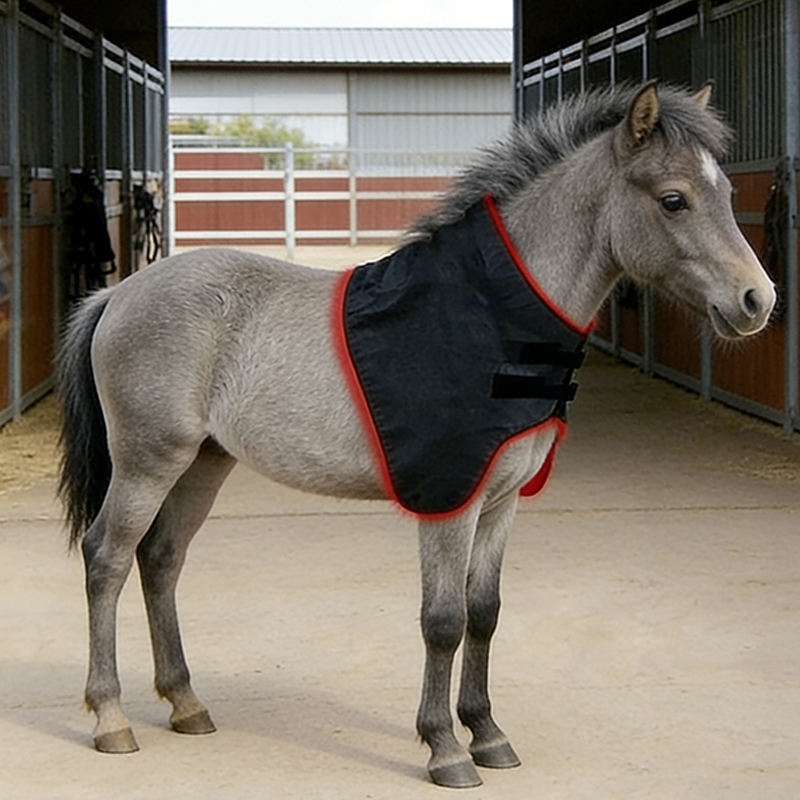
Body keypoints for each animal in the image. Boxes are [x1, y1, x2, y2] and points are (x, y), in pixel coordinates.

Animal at [57, 82, 775, 788]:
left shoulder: (502, 501)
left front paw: (488, 734)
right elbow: (444, 620)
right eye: (673, 198)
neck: (491, 318)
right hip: (148, 463)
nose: (758, 301)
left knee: (161, 559)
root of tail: (116, 296)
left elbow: (484, 612)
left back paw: (186, 704)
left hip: (204, 463)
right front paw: (445, 750)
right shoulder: (452, 499)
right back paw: (110, 718)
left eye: (727, 193)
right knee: (107, 559)